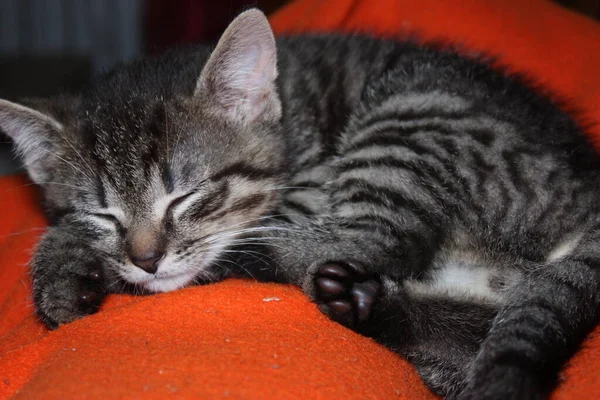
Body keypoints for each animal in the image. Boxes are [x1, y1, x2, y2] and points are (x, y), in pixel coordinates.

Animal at [1, 9, 600, 400]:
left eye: (186, 196)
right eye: (104, 213)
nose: (146, 260)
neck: (286, 117)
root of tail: (587, 192)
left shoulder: (310, 187)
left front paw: (70, 268)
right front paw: (65, 272)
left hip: (416, 115)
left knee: (375, 238)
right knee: (463, 337)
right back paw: (364, 303)